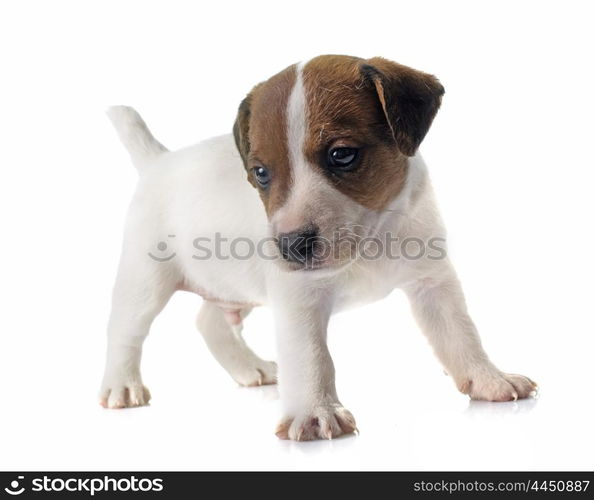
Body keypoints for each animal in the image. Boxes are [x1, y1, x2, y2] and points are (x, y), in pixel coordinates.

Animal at [99, 55, 536, 442]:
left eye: (341, 154)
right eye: (261, 173)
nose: (290, 245)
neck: (371, 240)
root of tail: (158, 161)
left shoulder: (433, 283)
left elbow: (460, 335)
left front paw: (489, 378)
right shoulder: (299, 300)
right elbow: (311, 357)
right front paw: (314, 413)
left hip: (232, 284)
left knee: (210, 322)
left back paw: (250, 369)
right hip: (145, 281)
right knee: (125, 332)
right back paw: (121, 386)